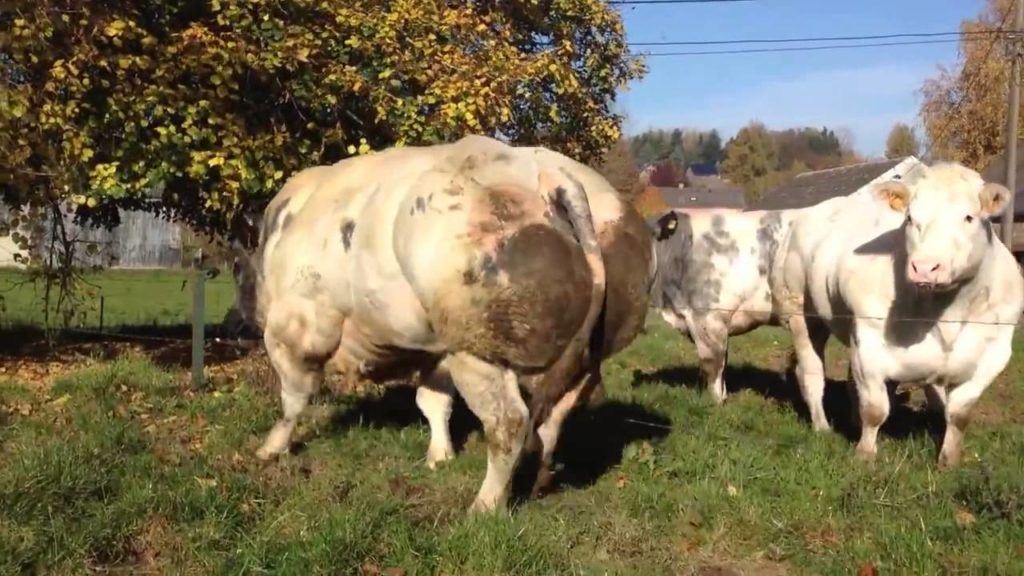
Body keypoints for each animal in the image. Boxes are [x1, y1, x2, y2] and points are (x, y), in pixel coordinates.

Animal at [232, 133, 655, 506]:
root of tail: (552, 173)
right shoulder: (434, 348)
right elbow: (433, 401)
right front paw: (440, 456)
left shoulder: (298, 329)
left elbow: (293, 398)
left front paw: (270, 449)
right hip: (584, 356)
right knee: (553, 419)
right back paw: (536, 481)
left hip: (477, 350)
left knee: (509, 423)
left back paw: (483, 508)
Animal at [770, 158, 1019, 463]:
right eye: (910, 218)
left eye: (969, 217)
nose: (925, 267)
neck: (946, 309)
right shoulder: (869, 342)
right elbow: (875, 408)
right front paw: (865, 454)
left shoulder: (993, 354)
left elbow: (959, 413)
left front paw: (949, 460)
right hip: (801, 313)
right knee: (812, 373)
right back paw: (822, 426)